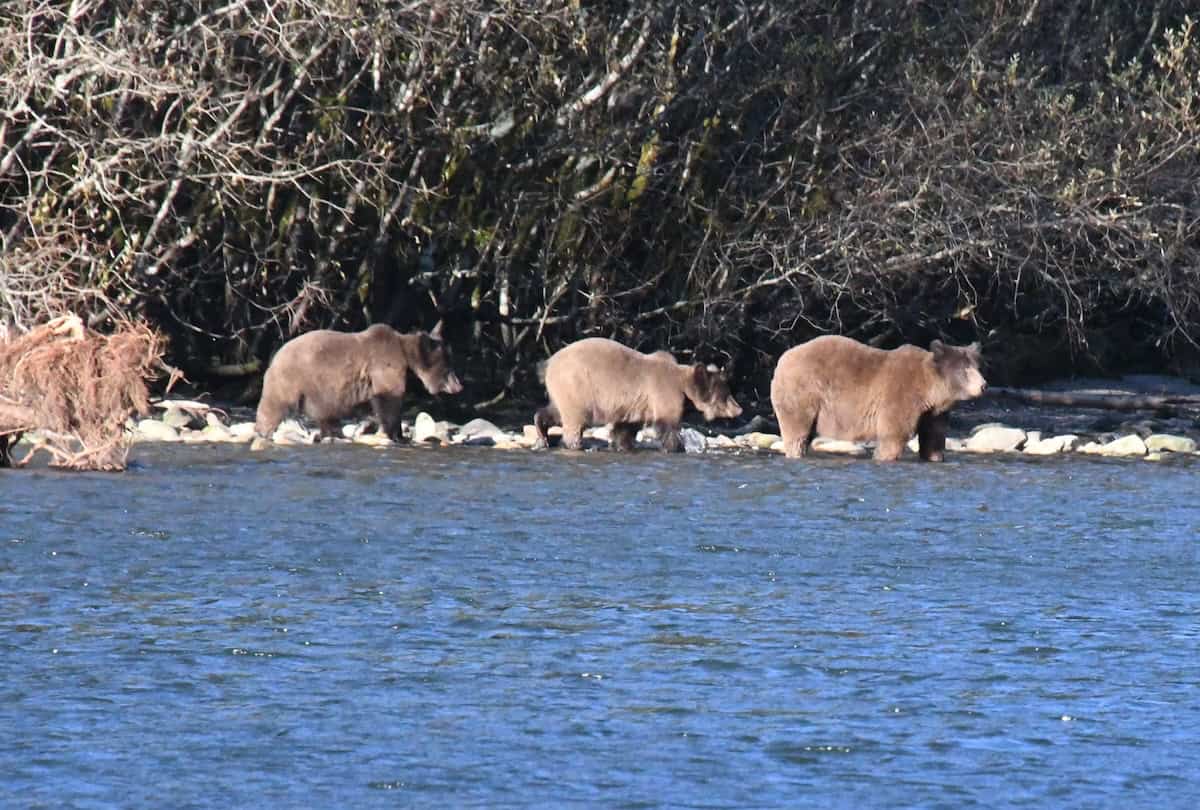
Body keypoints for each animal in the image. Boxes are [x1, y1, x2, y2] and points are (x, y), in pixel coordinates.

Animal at [254, 322, 463, 443]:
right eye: (448, 366)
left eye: (451, 361)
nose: (459, 386)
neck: (406, 357)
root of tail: (275, 356)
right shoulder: (384, 368)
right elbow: (389, 401)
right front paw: (394, 435)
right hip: (293, 379)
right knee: (273, 406)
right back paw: (263, 432)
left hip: (317, 391)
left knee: (326, 415)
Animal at [532, 337, 743, 452]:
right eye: (726, 394)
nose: (739, 409)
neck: (683, 386)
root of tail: (548, 363)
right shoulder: (664, 393)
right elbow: (668, 426)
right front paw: (676, 447)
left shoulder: (635, 407)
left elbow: (625, 429)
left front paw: (623, 445)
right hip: (577, 387)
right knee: (574, 422)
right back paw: (573, 444)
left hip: (565, 392)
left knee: (554, 411)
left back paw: (542, 434)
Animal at [770, 335, 986, 462]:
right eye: (965, 369)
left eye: (977, 366)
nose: (983, 385)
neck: (930, 390)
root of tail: (782, 358)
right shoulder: (901, 395)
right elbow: (894, 434)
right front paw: (883, 456)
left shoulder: (934, 412)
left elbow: (933, 438)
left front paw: (933, 456)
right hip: (803, 394)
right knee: (797, 434)